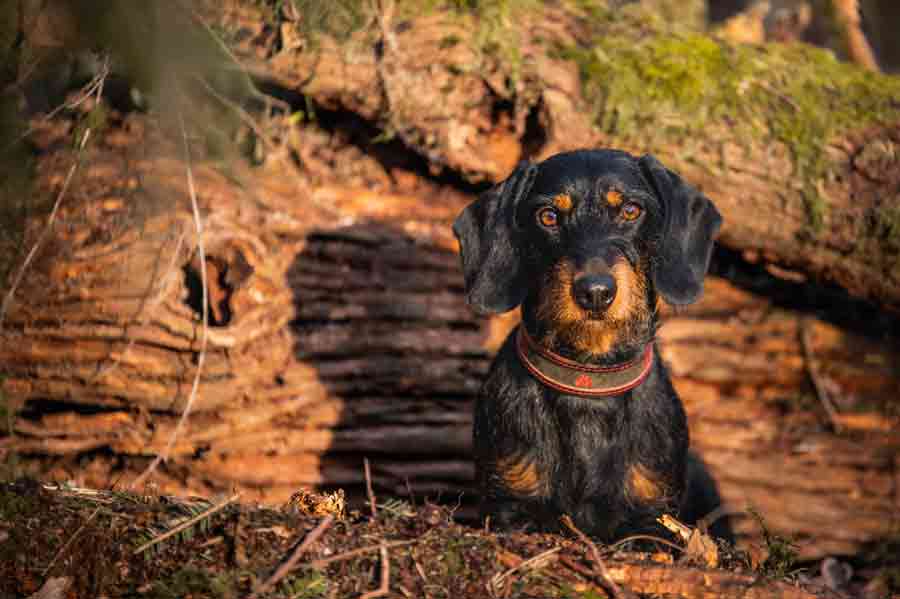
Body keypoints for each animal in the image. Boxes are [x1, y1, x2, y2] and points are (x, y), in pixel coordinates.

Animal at [454, 150, 728, 544]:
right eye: (548, 216)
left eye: (631, 210)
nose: (595, 292)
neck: (589, 377)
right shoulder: (509, 503)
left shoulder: (655, 515)